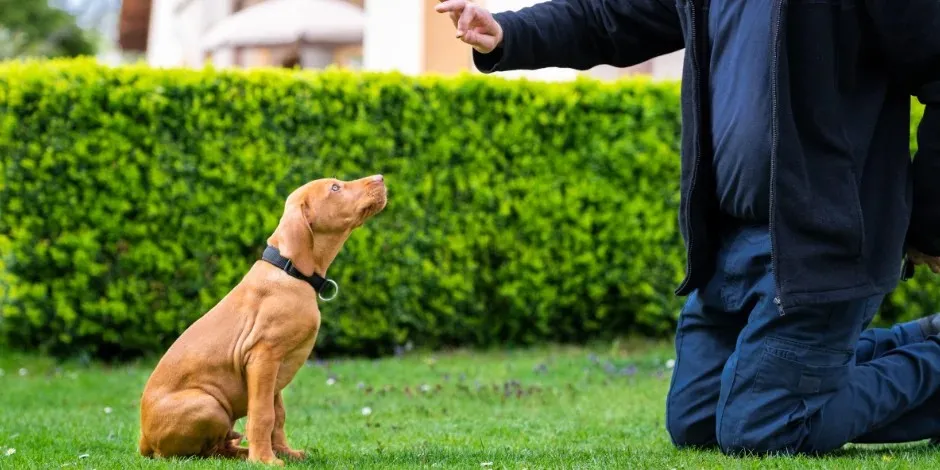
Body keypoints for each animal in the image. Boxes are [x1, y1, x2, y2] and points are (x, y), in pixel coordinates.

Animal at [136, 174, 386, 464]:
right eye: (335, 188)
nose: (380, 177)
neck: (290, 270)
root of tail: (143, 441)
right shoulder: (263, 357)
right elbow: (262, 414)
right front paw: (265, 459)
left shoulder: (276, 368)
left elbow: (278, 415)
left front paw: (285, 452)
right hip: (208, 405)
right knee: (201, 453)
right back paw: (244, 454)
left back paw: (242, 449)